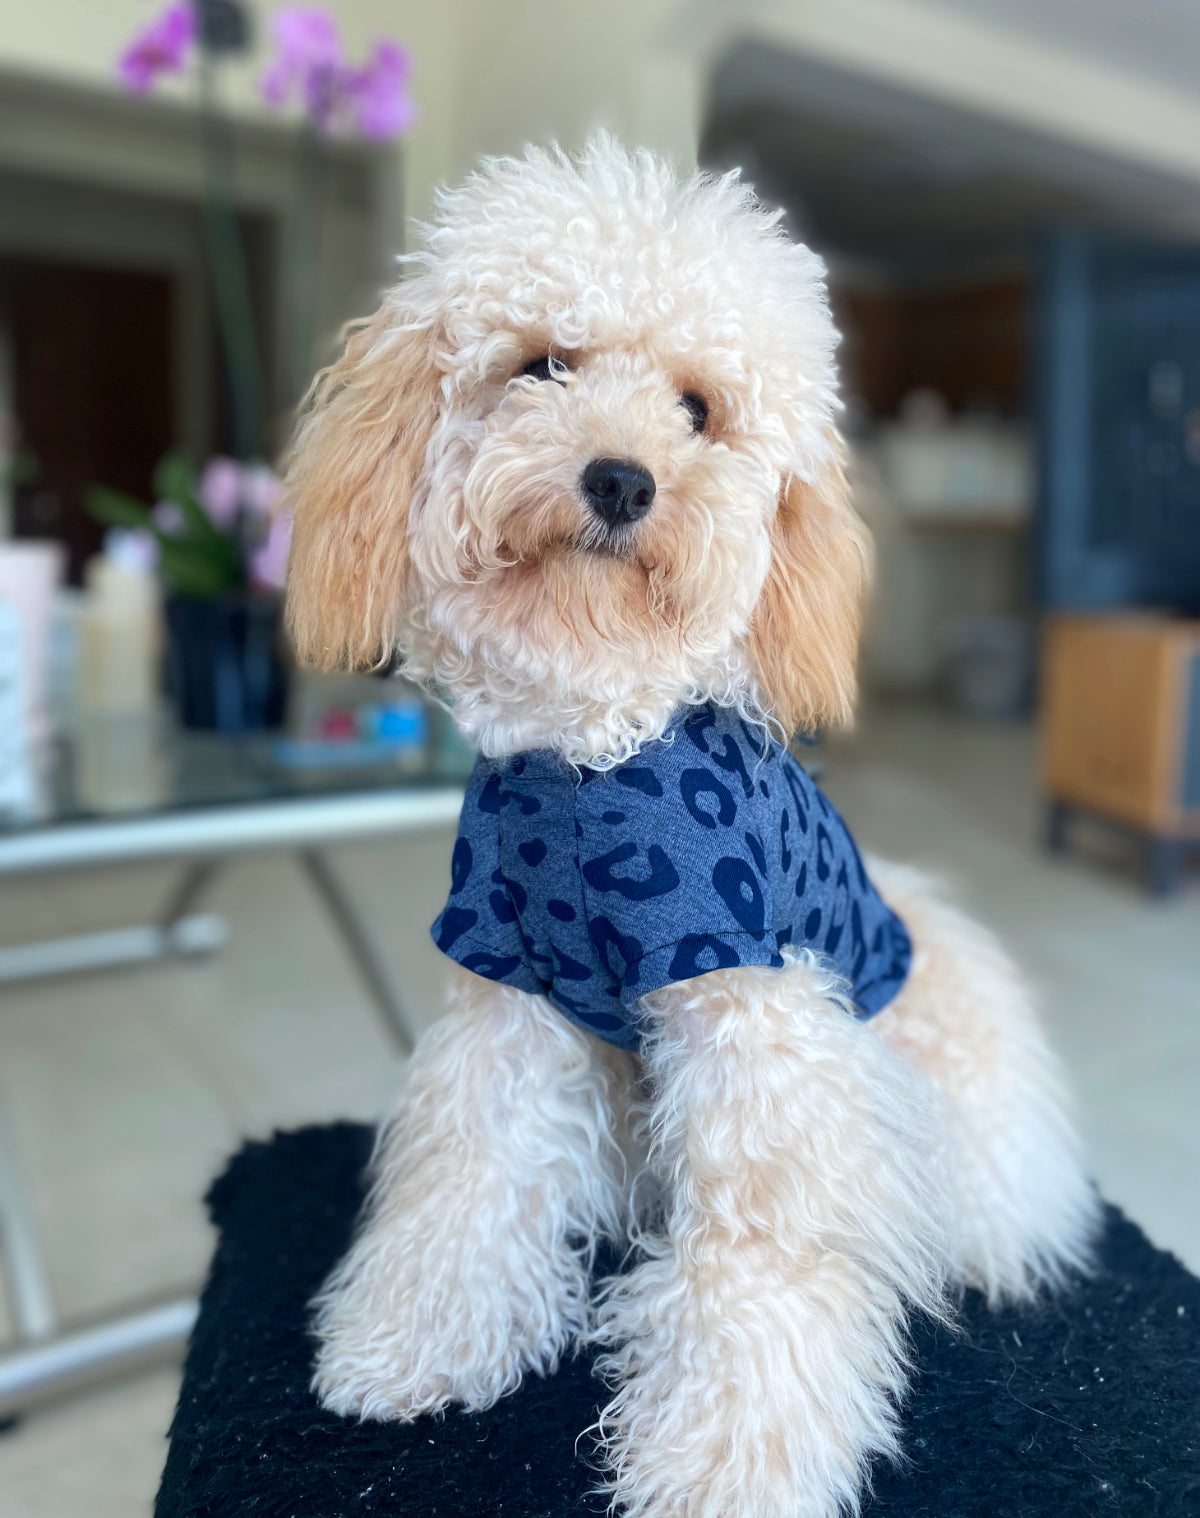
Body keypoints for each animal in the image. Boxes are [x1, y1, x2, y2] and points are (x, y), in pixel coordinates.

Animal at [282, 136, 1098, 1511]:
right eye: (542, 365)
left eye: (699, 410)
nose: (621, 479)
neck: (593, 757)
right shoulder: (513, 1002)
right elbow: (472, 1177)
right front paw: (417, 1341)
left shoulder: (753, 1024)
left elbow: (758, 1262)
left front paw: (726, 1468)